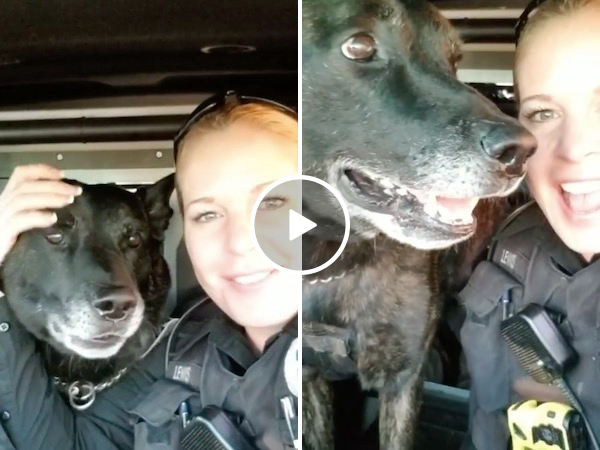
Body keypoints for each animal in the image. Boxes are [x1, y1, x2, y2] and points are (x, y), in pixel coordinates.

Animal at [301, 0, 536, 448]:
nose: (521, 151)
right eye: (359, 45)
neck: (336, 259)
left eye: (453, 59)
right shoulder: (306, 375)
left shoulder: (403, 379)